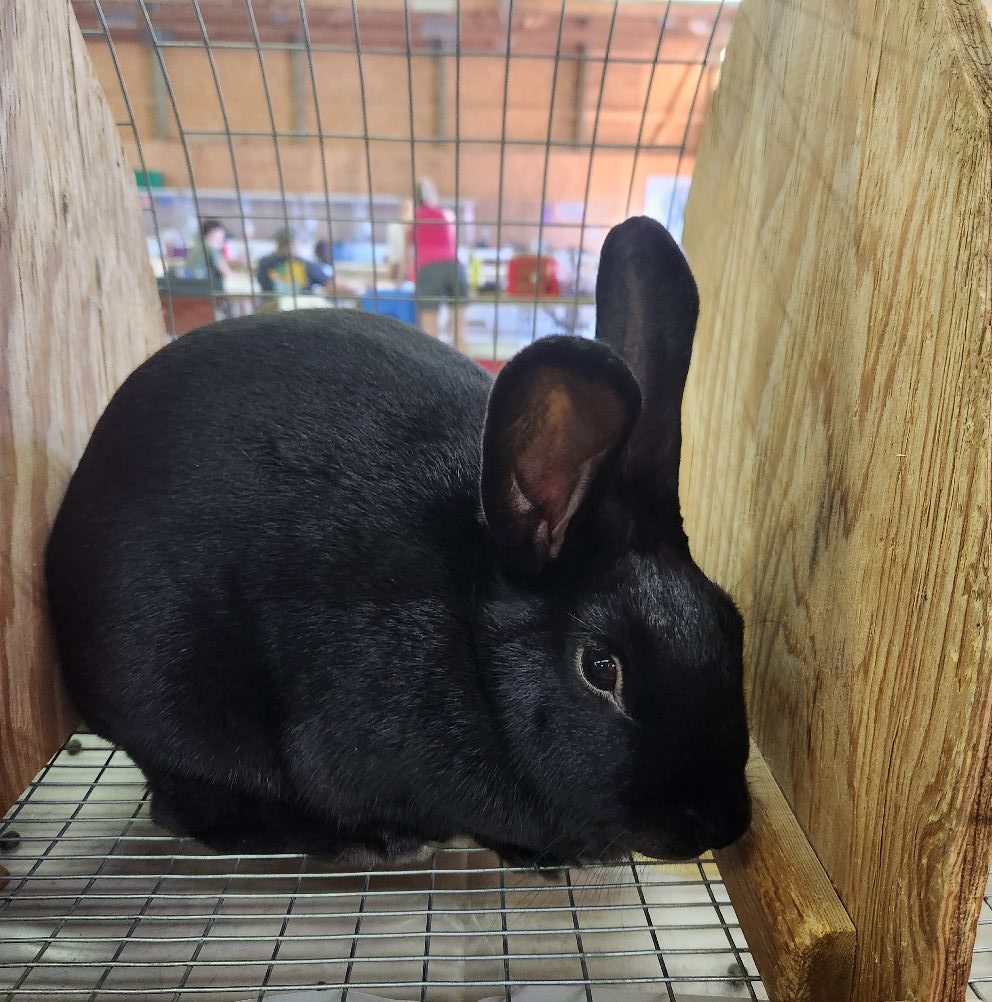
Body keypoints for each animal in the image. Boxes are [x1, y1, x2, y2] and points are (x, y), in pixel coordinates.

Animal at [45, 216, 750, 867]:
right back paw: (364, 841)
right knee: (193, 810)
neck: (470, 642)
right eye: (600, 668)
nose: (721, 825)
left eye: (731, 622)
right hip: (182, 717)